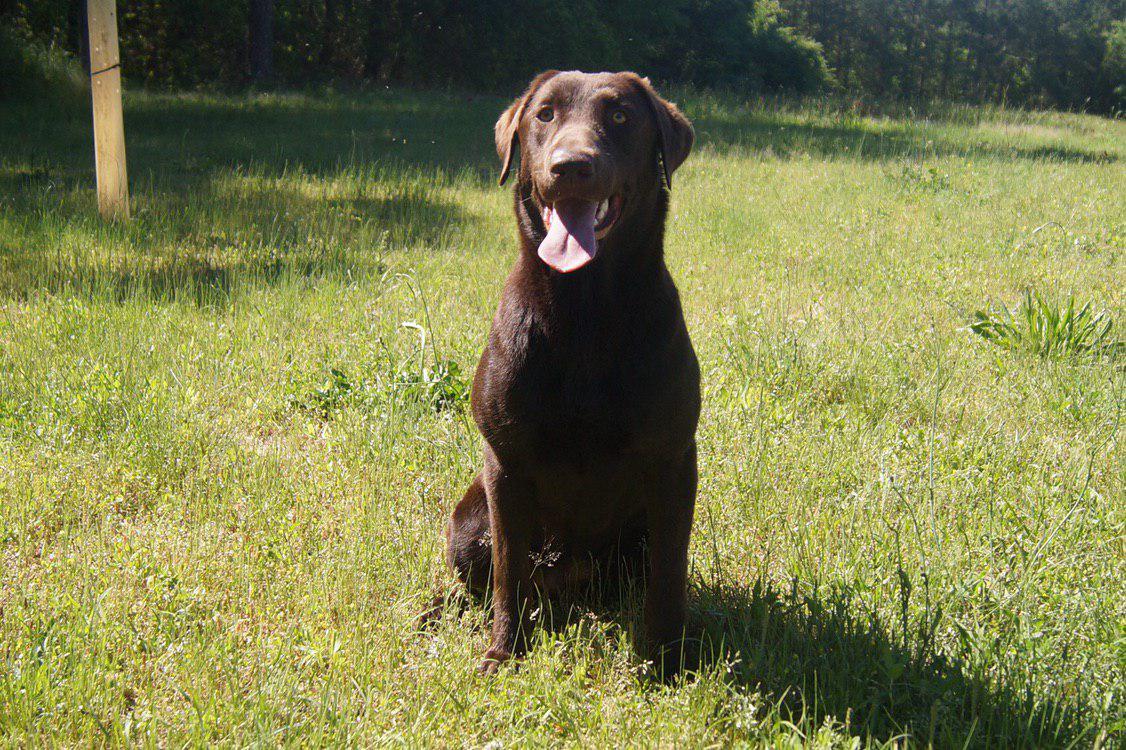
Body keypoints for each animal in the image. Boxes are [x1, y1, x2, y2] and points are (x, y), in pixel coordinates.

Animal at [443, 70, 698, 671]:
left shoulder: (674, 461)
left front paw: (665, 660)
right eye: (545, 115)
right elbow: (507, 575)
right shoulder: (505, 466)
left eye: (622, 116)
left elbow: (669, 575)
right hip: (467, 521)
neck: (585, 310)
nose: (571, 166)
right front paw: (504, 652)